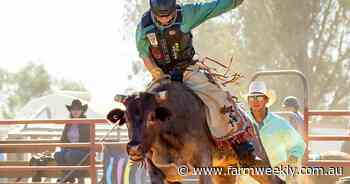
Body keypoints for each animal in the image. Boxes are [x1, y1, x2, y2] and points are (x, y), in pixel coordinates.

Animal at [107, 80, 284, 184]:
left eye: (152, 117)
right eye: (126, 118)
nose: (134, 148)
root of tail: (251, 121)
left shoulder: (203, 165)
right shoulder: (157, 173)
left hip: (257, 161)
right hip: (224, 171)